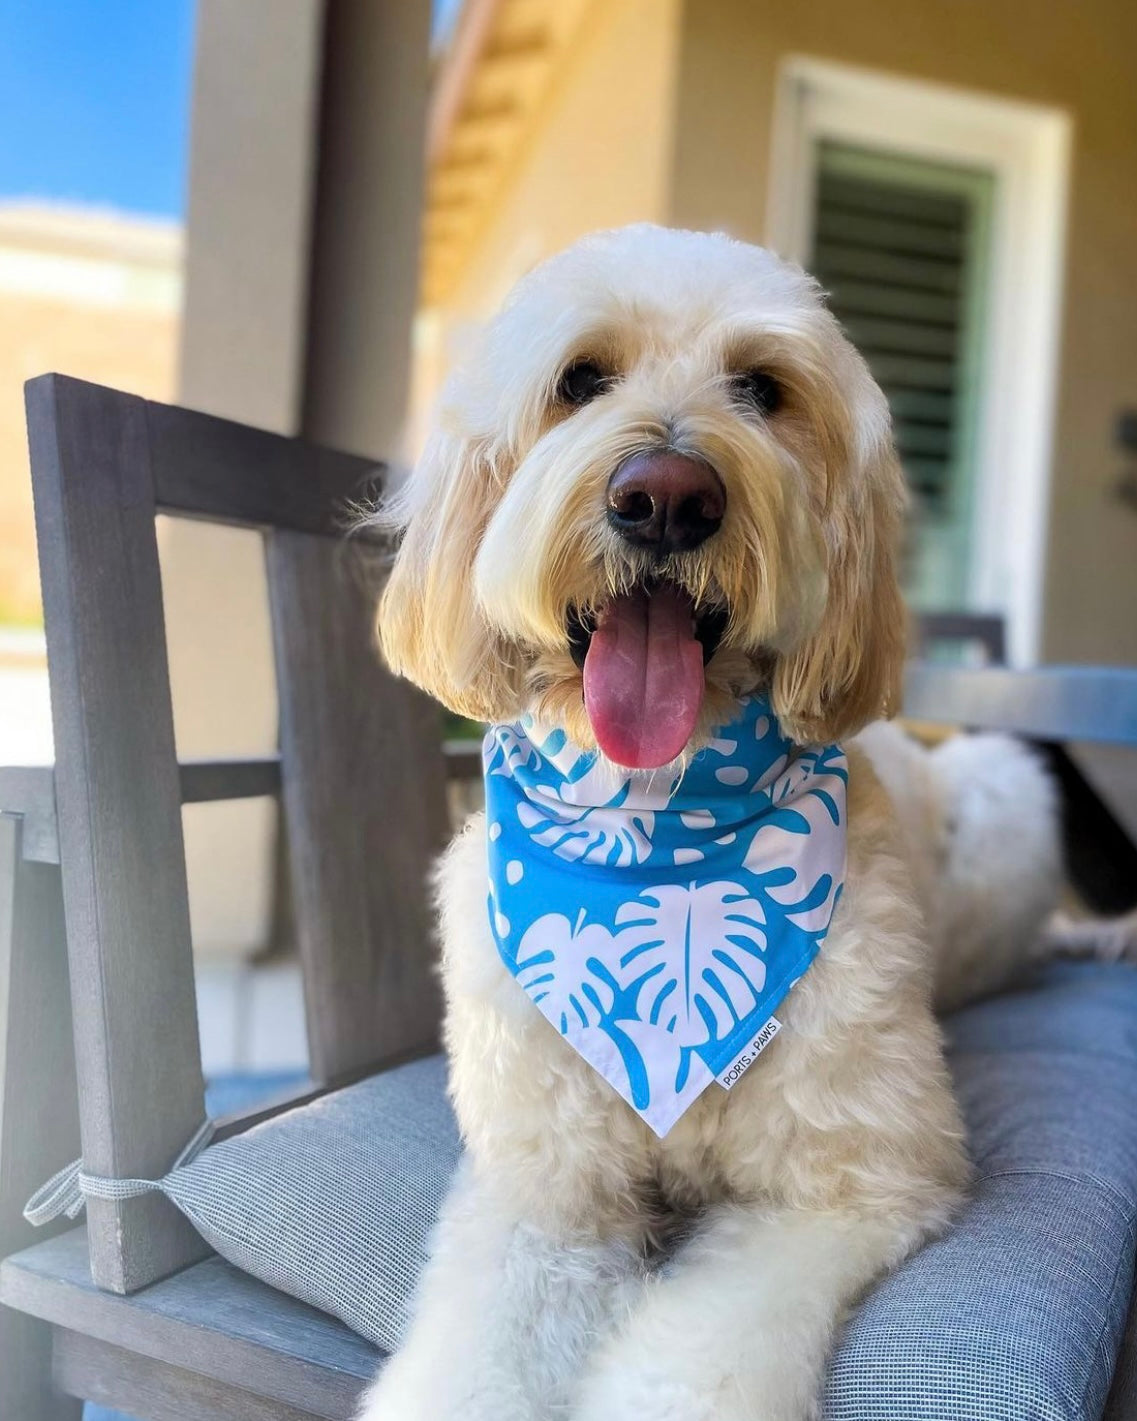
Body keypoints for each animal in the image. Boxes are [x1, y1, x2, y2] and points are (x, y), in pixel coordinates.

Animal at [362, 227, 1068, 1415]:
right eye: (580, 379)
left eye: (763, 388)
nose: (666, 496)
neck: (658, 827)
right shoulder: (546, 1188)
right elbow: (476, 1351)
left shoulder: (844, 1184)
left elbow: (690, 1359)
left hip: (1004, 790)